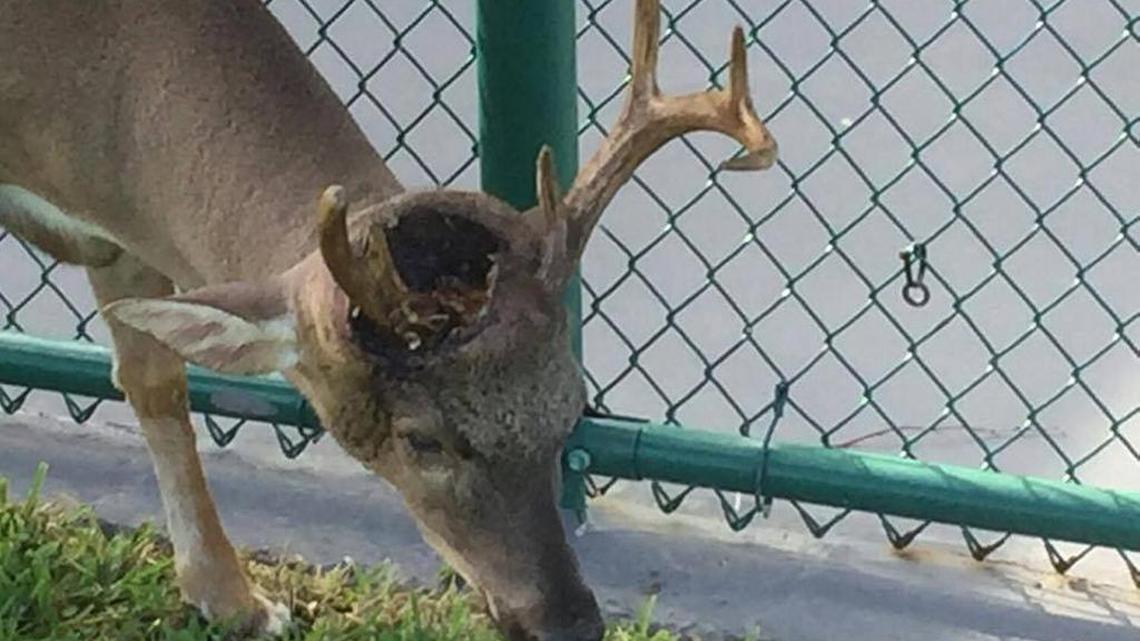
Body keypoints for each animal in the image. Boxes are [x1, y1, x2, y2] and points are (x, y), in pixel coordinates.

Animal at [0, 0, 776, 639]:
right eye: (420, 438)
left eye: (571, 406)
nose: (568, 623)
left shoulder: (121, 236)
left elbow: (155, 381)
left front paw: (236, 602)